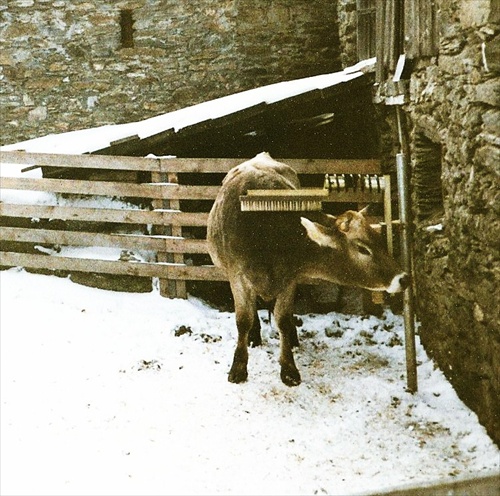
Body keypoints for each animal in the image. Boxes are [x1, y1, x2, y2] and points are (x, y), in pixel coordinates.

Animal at [207, 153, 406, 386]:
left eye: (378, 238)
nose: (404, 278)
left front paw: (288, 368)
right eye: (362, 248)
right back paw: (255, 336)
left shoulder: (290, 278)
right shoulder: (237, 275)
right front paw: (238, 367)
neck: (267, 233)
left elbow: (283, 320)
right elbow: (243, 320)